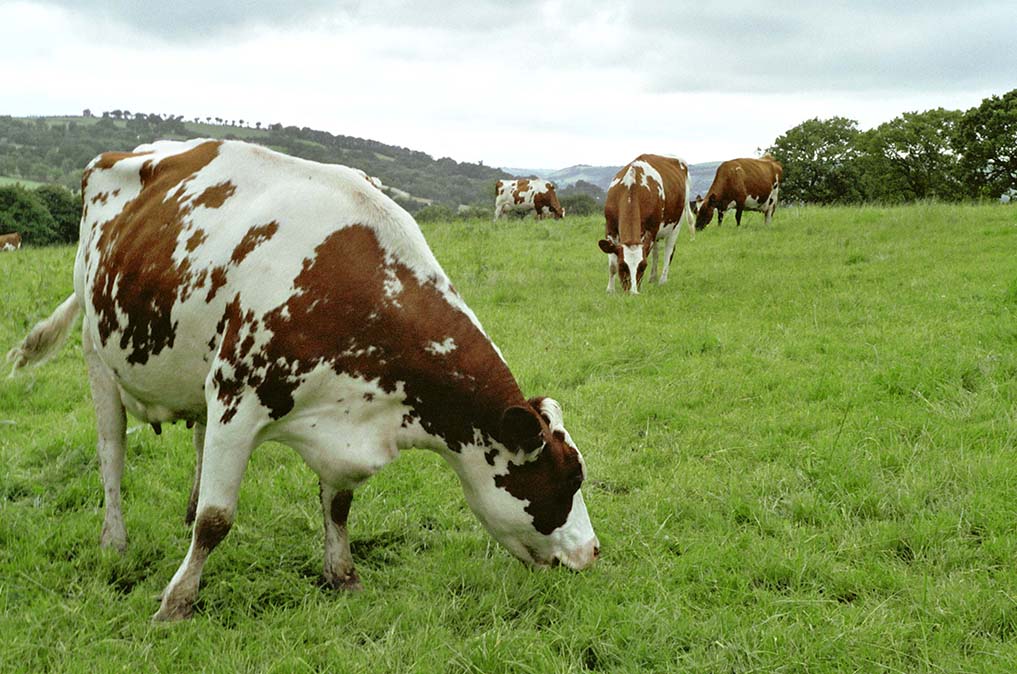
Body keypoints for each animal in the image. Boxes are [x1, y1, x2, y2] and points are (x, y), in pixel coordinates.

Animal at [5, 137, 593, 622]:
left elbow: (337, 507)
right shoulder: (238, 398)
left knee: (194, 440)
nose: (591, 553)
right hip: (97, 353)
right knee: (111, 453)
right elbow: (216, 520)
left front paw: (343, 575)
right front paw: (176, 602)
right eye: (569, 479)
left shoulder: (340, 417)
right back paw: (115, 541)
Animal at [593, 154, 695, 294]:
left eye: (643, 266)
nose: (633, 293)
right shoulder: (610, 228)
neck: (631, 188)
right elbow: (612, 265)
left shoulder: (651, 230)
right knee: (656, 252)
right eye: (622, 265)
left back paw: (662, 281)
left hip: (676, 223)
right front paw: (610, 290)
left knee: (668, 251)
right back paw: (652, 278)